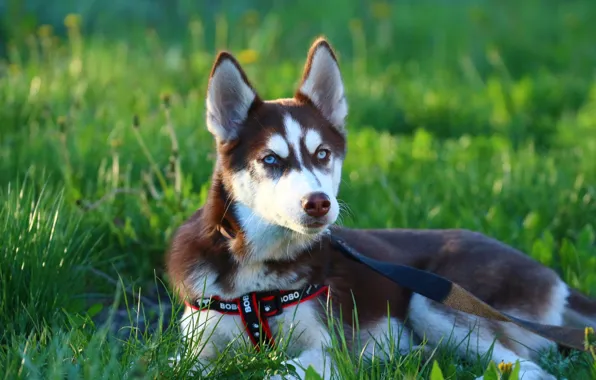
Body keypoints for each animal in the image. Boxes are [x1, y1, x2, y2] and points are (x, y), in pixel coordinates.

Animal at [164, 36, 596, 380]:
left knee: (527, 366)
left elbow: (282, 371)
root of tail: (550, 275)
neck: (257, 279)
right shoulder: (195, 348)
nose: (319, 204)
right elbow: (175, 367)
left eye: (322, 154)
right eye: (271, 159)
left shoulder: (328, 350)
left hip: (433, 298)